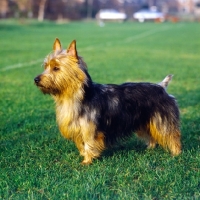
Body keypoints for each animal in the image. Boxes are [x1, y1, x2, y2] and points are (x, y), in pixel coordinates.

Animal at [34, 38, 181, 164]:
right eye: (46, 66)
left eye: (56, 68)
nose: (36, 79)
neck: (72, 96)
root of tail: (161, 87)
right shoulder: (77, 129)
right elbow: (81, 144)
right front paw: (84, 156)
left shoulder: (89, 129)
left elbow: (88, 144)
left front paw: (87, 161)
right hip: (145, 121)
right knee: (152, 135)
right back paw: (150, 148)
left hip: (162, 120)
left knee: (172, 135)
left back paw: (176, 153)